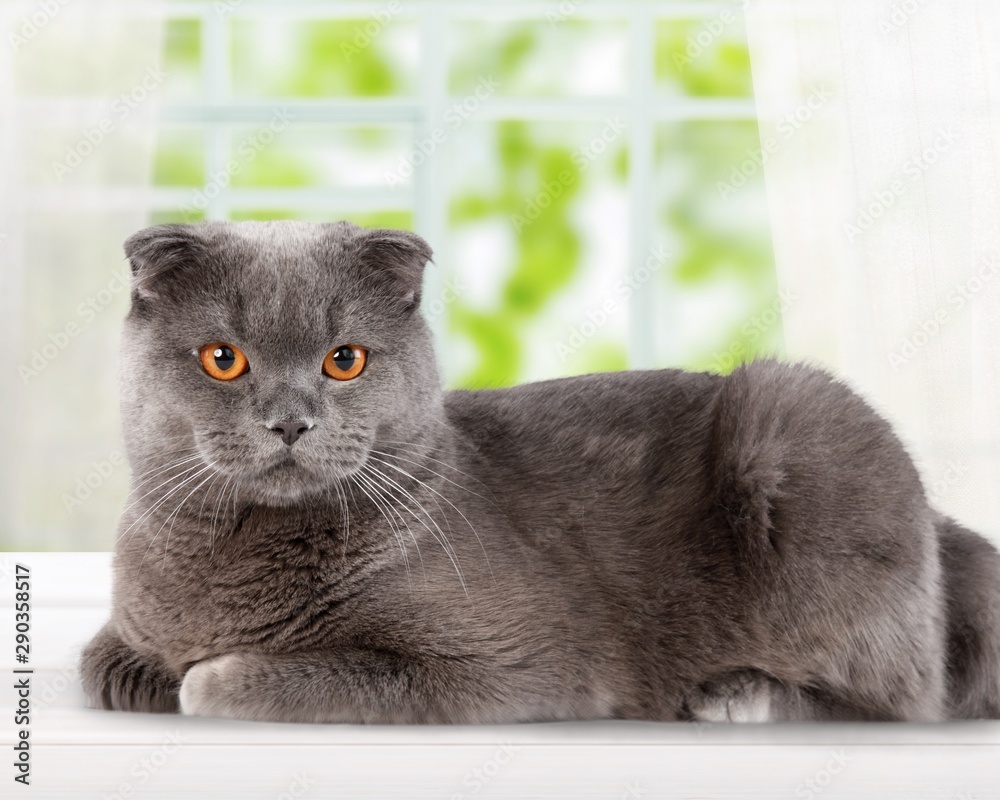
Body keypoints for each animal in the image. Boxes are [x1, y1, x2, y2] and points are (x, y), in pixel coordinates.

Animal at [82, 220, 1000, 724]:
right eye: (223, 358)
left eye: (344, 360)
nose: (290, 420)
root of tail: (945, 530)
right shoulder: (123, 630)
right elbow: (104, 666)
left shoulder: (505, 662)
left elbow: (236, 680)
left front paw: (209, 674)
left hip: (793, 422)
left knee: (906, 693)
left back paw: (740, 693)